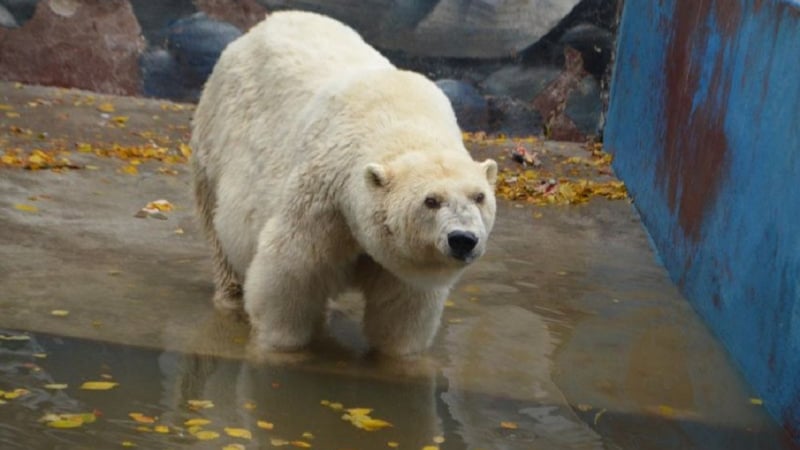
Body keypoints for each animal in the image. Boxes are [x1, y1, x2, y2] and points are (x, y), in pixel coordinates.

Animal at [191, 8, 496, 356]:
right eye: (431, 200)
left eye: (479, 197)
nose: (463, 239)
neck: (401, 120)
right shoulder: (325, 196)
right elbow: (291, 270)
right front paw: (280, 345)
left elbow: (403, 307)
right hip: (215, 140)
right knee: (219, 231)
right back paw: (230, 300)